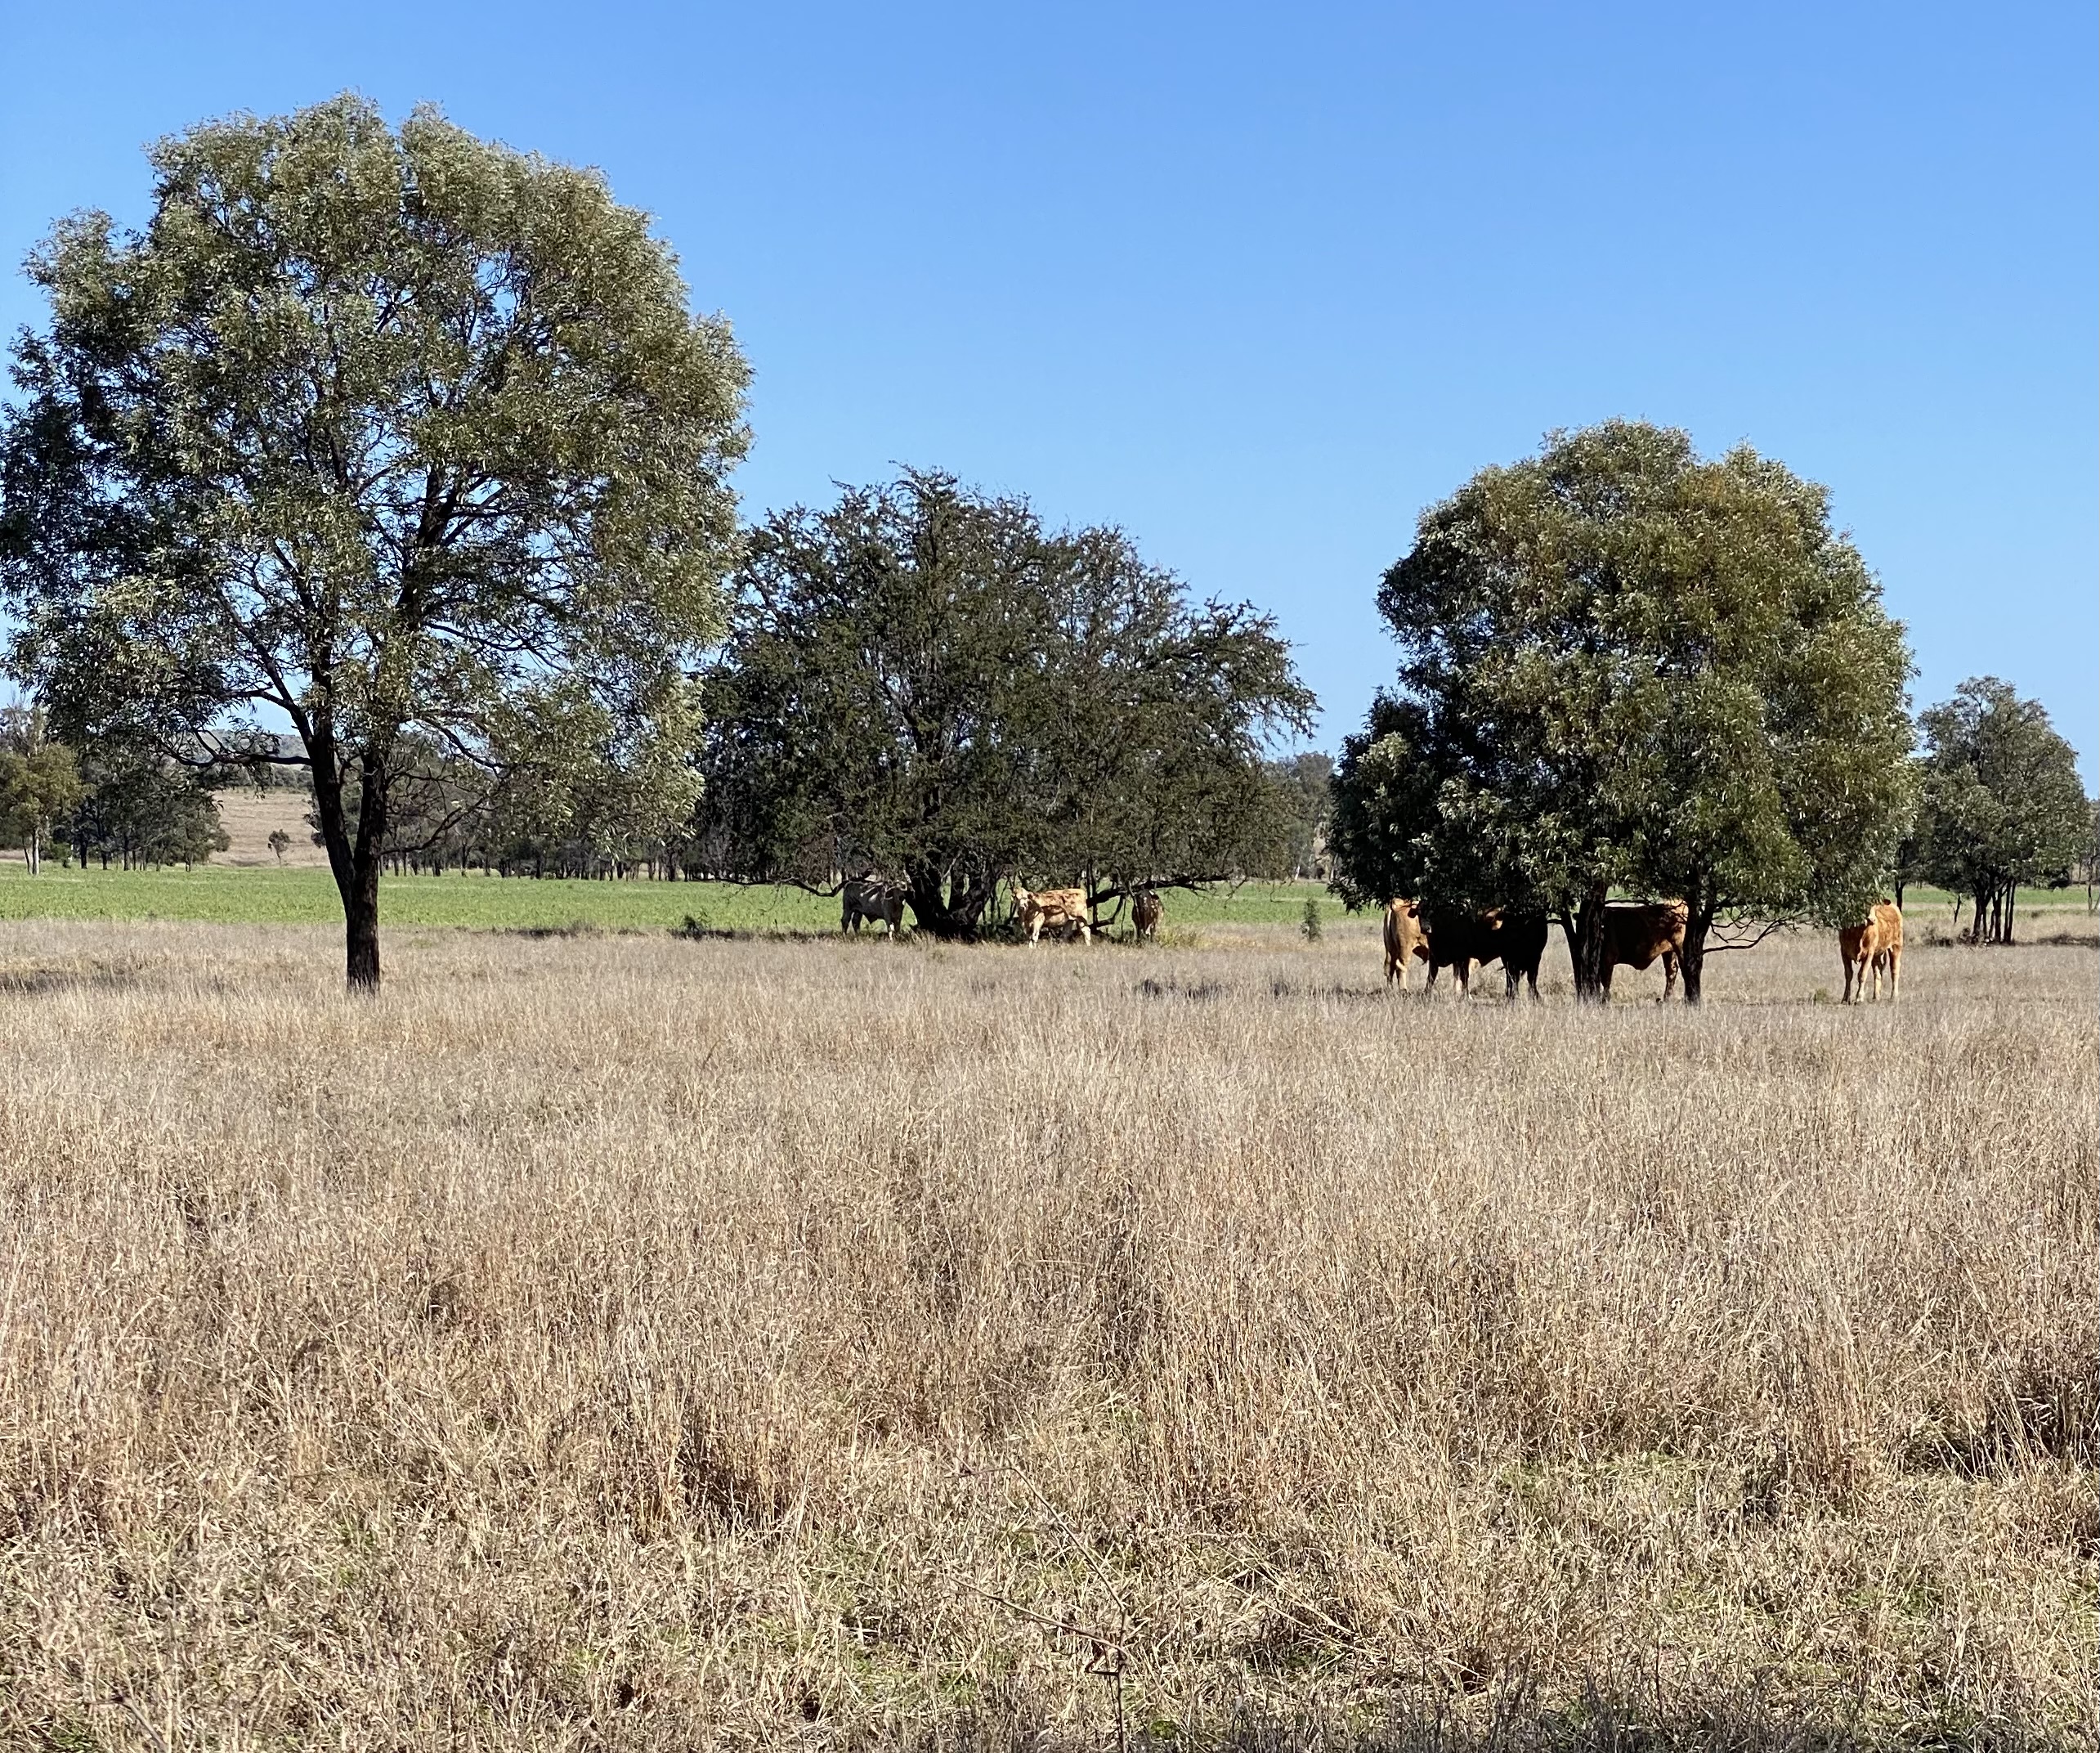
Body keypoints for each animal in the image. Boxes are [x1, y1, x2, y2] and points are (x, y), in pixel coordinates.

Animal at [1420, 905, 1549, 999]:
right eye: (1420, 913)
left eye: (1434, 914)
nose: (1425, 928)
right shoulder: (1435, 958)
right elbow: (1431, 978)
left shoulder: (1462, 958)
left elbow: (1463, 977)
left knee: (1523, 979)